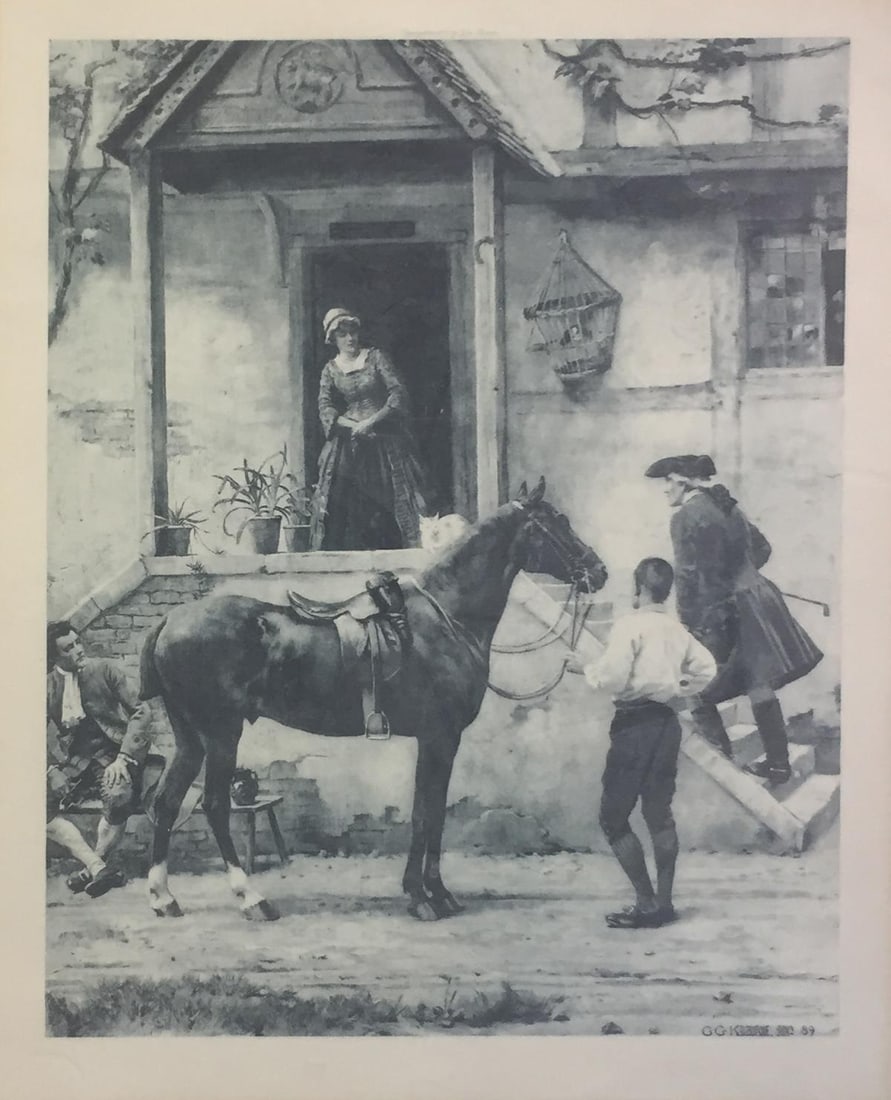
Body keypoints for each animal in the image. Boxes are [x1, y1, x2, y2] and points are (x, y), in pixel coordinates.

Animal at [139, 477, 607, 921]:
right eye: (558, 522)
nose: (599, 571)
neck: (447, 618)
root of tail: (169, 620)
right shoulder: (439, 738)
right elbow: (425, 814)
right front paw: (423, 896)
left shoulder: (439, 741)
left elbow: (432, 813)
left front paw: (437, 893)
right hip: (221, 734)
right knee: (215, 805)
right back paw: (252, 898)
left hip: (191, 738)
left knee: (166, 801)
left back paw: (164, 897)